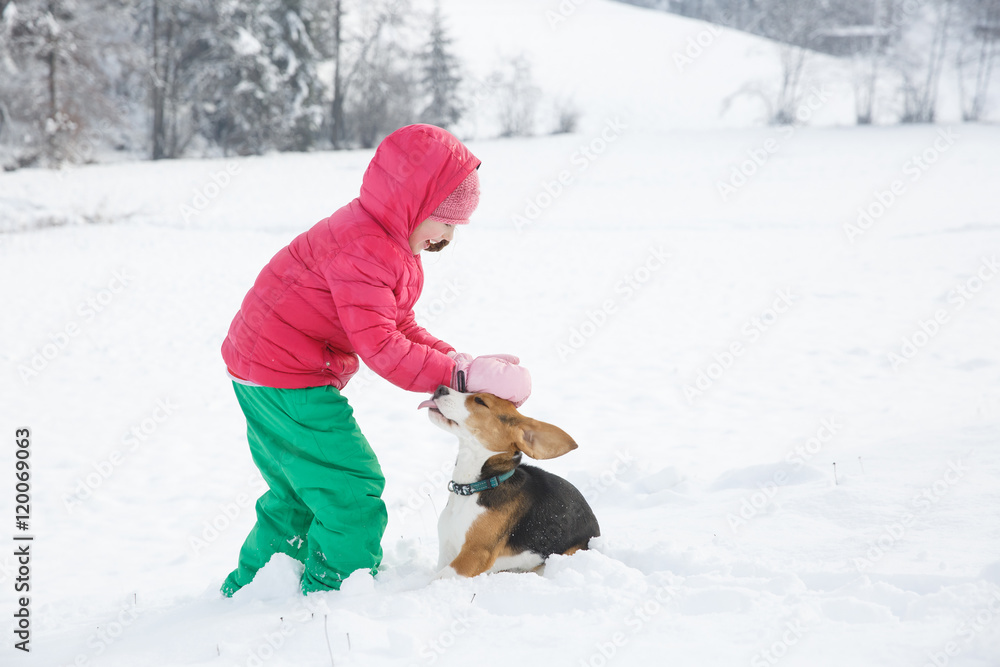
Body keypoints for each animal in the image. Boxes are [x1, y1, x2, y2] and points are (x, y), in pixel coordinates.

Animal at [418, 386, 596, 580]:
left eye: (480, 401)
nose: (440, 388)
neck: (474, 487)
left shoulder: (474, 555)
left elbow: (433, 581)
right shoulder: (447, 549)